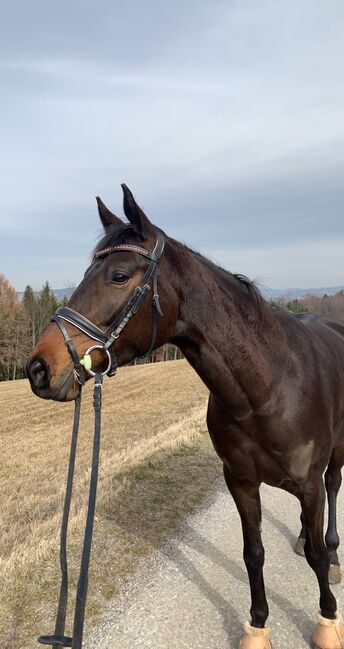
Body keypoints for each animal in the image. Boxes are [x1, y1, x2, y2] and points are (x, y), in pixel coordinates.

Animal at [27, 184, 344, 648]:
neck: (267, 388)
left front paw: (327, 623)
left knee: (333, 489)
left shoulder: (307, 483)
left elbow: (317, 557)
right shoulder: (240, 482)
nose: (39, 368)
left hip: (337, 452)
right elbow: (253, 554)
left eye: (118, 276)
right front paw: (257, 627)